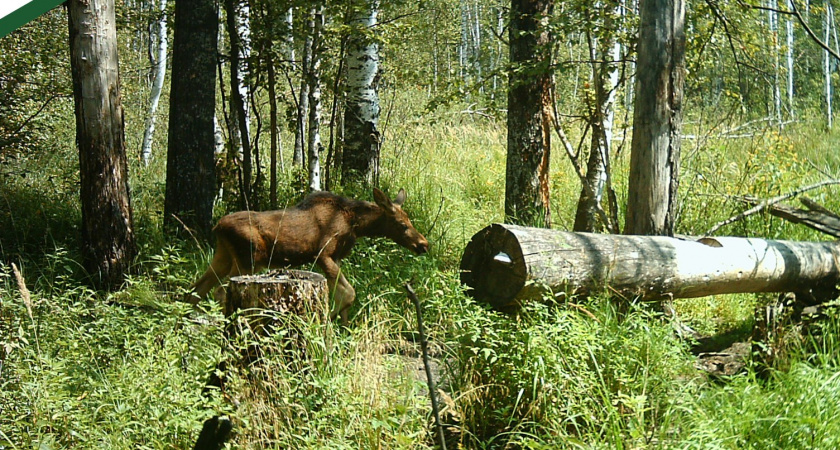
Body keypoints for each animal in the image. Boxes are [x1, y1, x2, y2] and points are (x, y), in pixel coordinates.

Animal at [187, 187, 430, 324]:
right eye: (402, 225)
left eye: (409, 220)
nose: (423, 244)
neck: (355, 224)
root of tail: (217, 227)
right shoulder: (322, 254)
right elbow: (349, 294)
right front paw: (327, 321)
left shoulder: (335, 257)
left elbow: (343, 295)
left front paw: (344, 332)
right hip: (249, 260)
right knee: (218, 291)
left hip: (223, 256)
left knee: (196, 290)